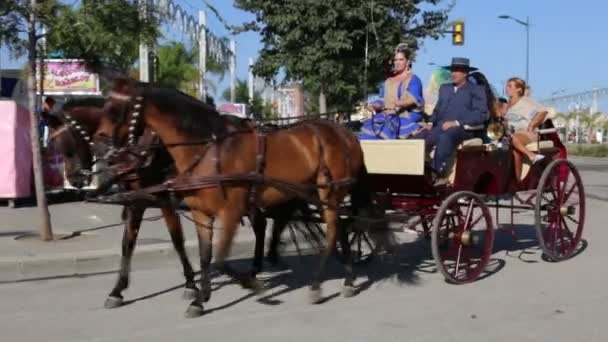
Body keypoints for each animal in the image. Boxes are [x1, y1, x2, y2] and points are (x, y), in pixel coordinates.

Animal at [97, 78, 388, 318]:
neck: (210, 149)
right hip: (320, 195)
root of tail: (346, 133)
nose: (101, 145)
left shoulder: (230, 212)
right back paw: (348, 278)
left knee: (332, 232)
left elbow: (220, 259)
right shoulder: (201, 214)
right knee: (340, 228)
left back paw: (316, 284)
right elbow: (205, 256)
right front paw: (200, 299)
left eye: (116, 108)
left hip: (330, 191)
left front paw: (254, 285)